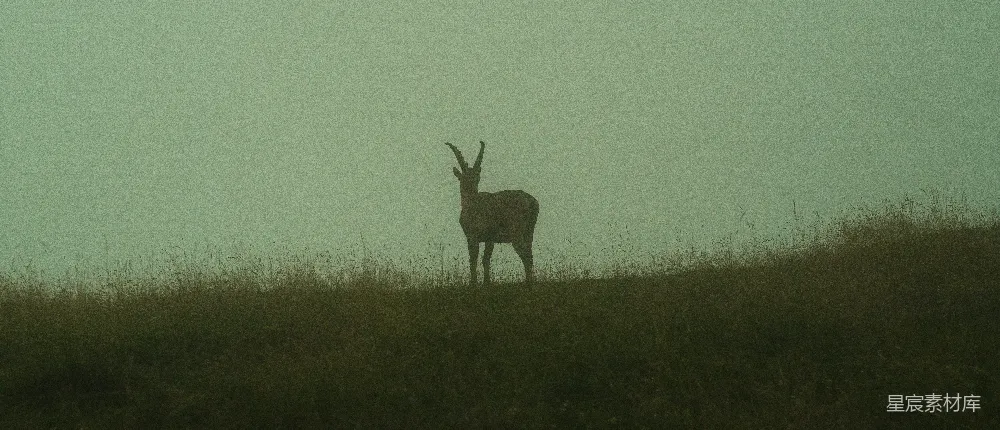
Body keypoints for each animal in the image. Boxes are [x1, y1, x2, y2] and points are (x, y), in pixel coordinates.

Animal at [446, 141, 539, 287]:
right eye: (464, 178)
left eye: (477, 177)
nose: (471, 187)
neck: (472, 205)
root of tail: (533, 203)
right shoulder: (487, 238)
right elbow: (484, 259)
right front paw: (486, 282)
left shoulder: (477, 235)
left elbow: (475, 259)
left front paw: (474, 283)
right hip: (529, 231)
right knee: (530, 254)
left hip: (516, 232)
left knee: (526, 256)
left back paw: (527, 282)